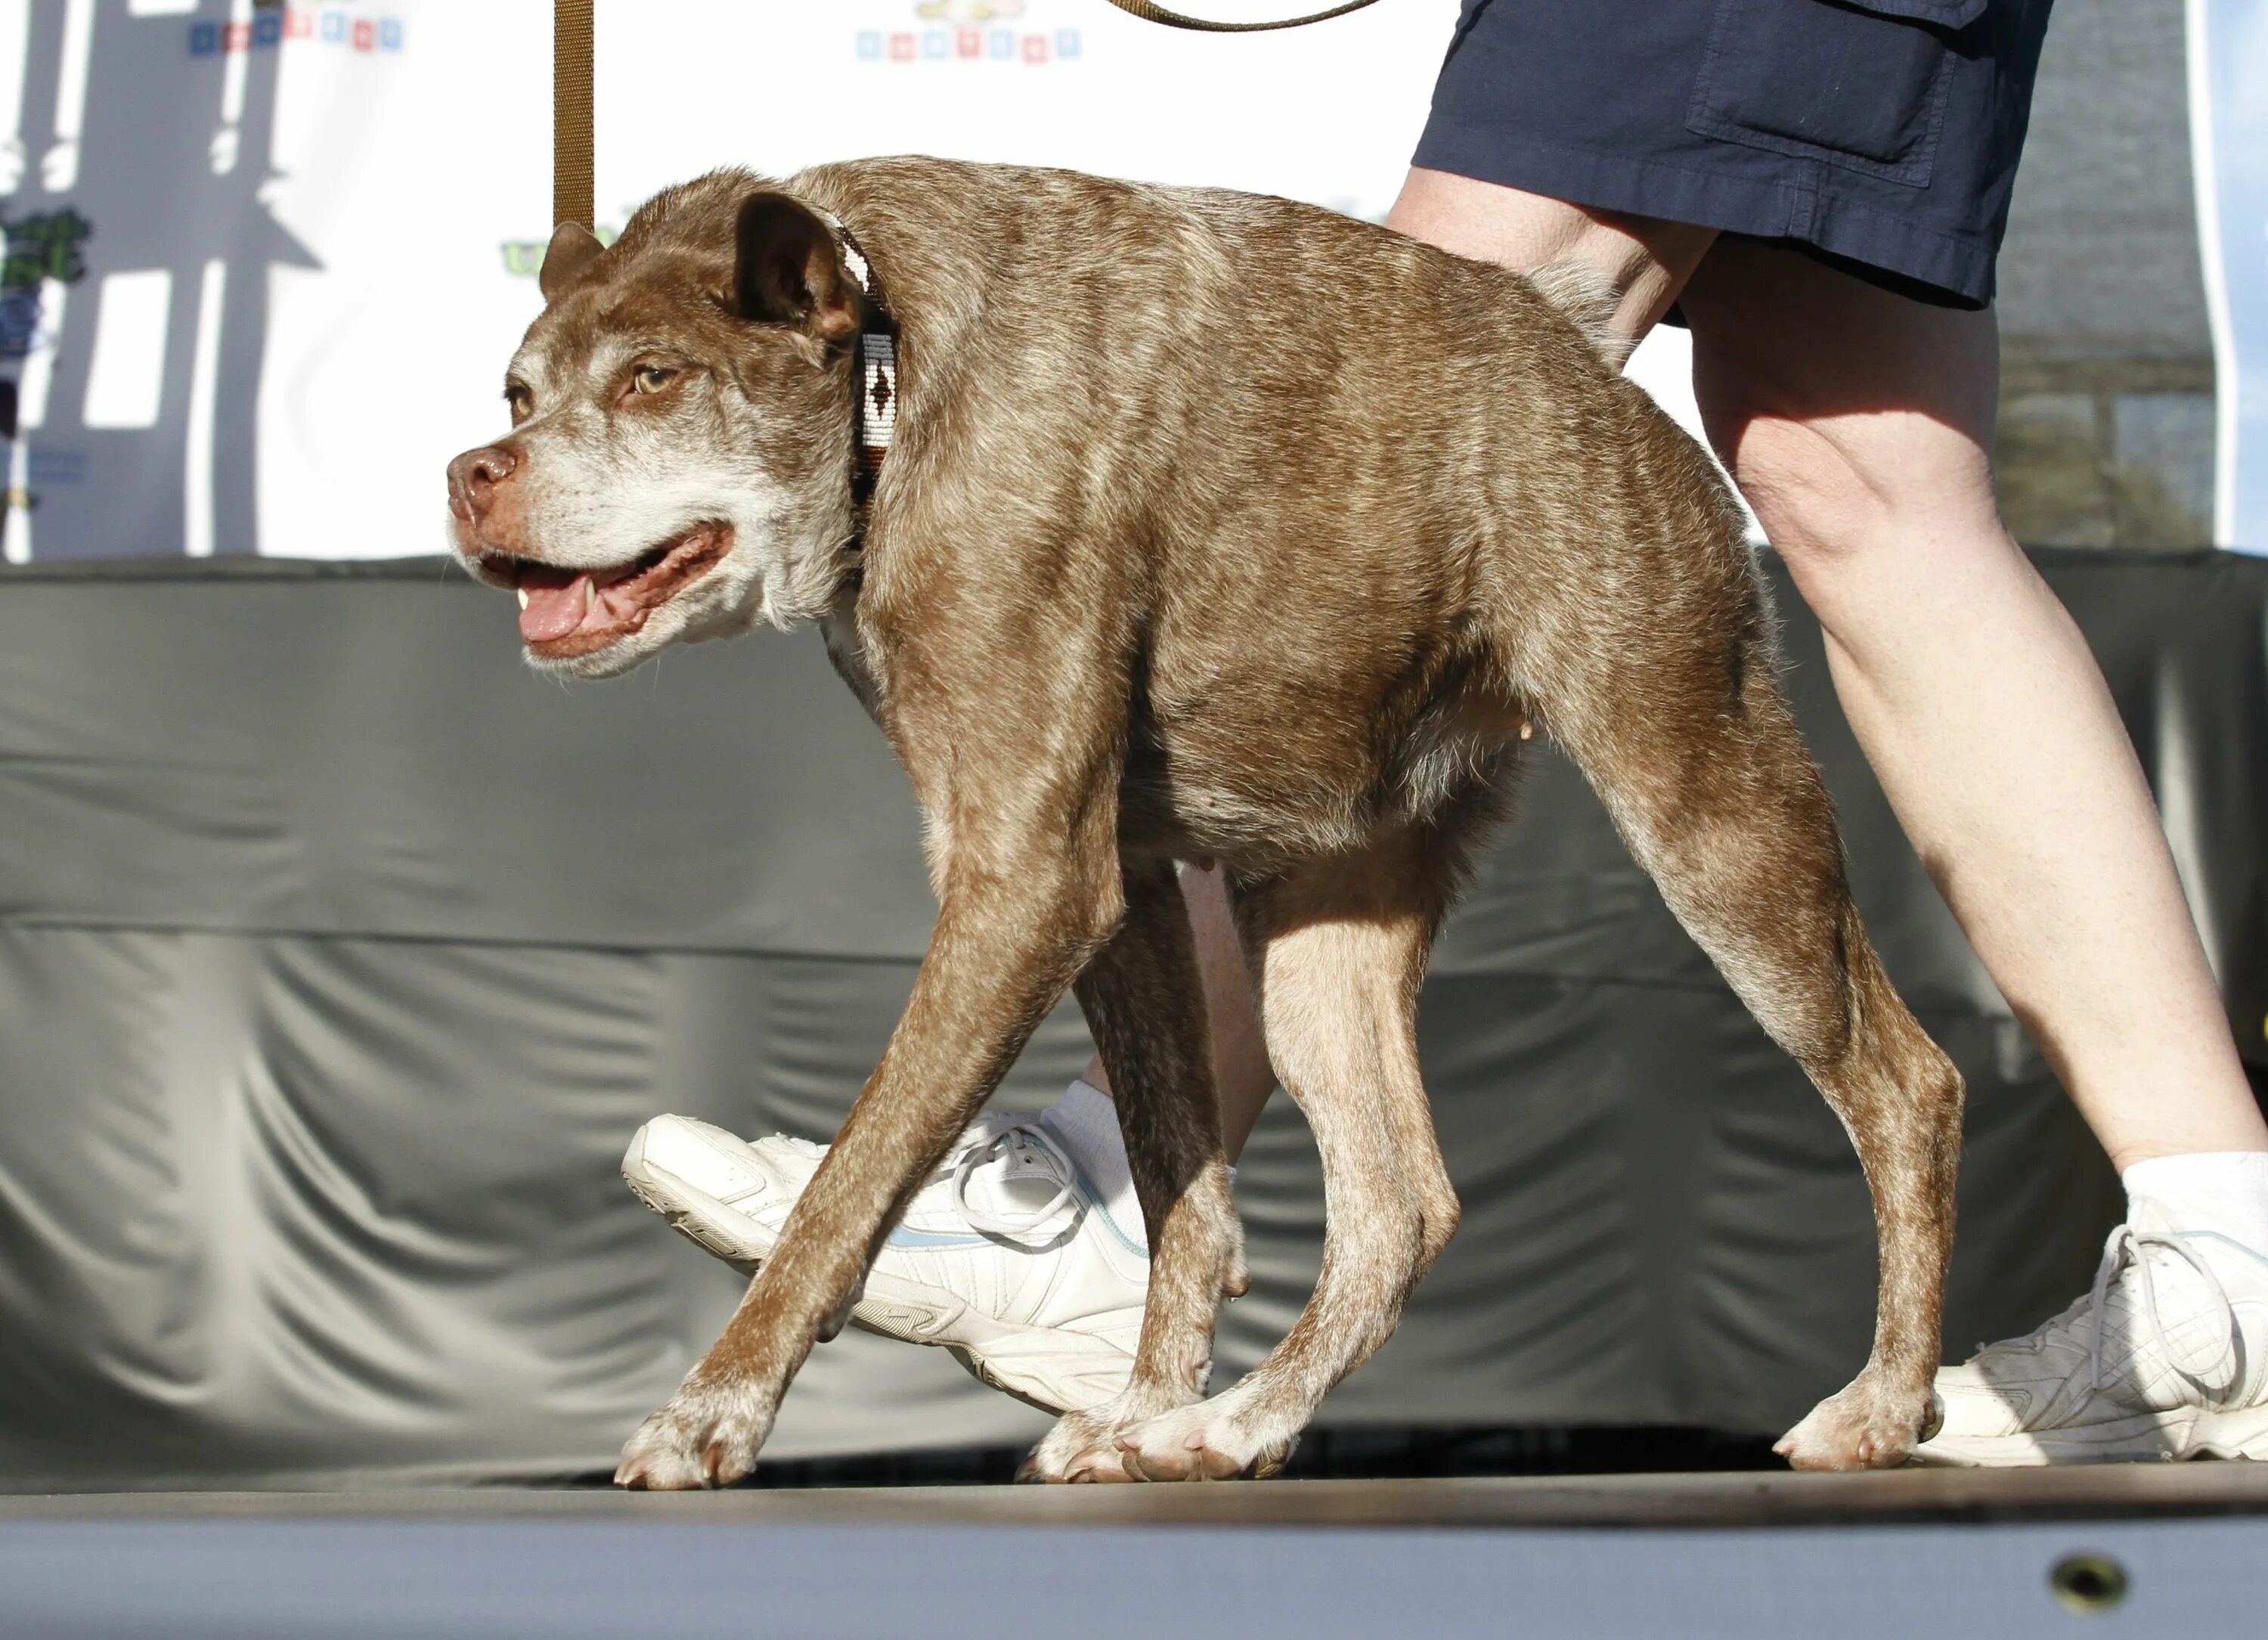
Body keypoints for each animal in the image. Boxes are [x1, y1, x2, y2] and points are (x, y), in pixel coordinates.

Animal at [447, 160, 1969, 1497]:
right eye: (518, 391)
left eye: (653, 379)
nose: (471, 472)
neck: (890, 368)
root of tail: (1590, 369)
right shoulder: (1112, 884)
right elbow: (1186, 1187)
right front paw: (1144, 1406)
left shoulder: (1026, 887)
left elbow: (851, 1183)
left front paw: (711, 1412)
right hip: (1322, 925)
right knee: (1399, 1203)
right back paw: (1241, 1423)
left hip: (1711, 819)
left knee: (1911, 1087)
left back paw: (1885, 1406)